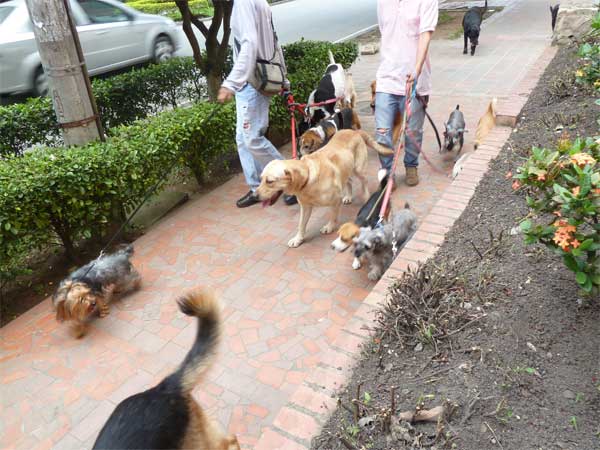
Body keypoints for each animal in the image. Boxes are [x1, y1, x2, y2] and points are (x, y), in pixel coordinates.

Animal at [256, 130, 394, 248]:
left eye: (270, 181)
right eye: (261, 178)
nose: (255, 196)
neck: (308, 177)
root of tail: (354, 131)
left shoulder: (335, 200)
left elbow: (333, 216)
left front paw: (329, 226)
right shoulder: (305, 207)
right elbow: (301, 225)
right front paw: (298, 239)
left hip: (359, 169)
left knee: (364, 183)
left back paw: (366, 198)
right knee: (349, 181)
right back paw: (348, 196)